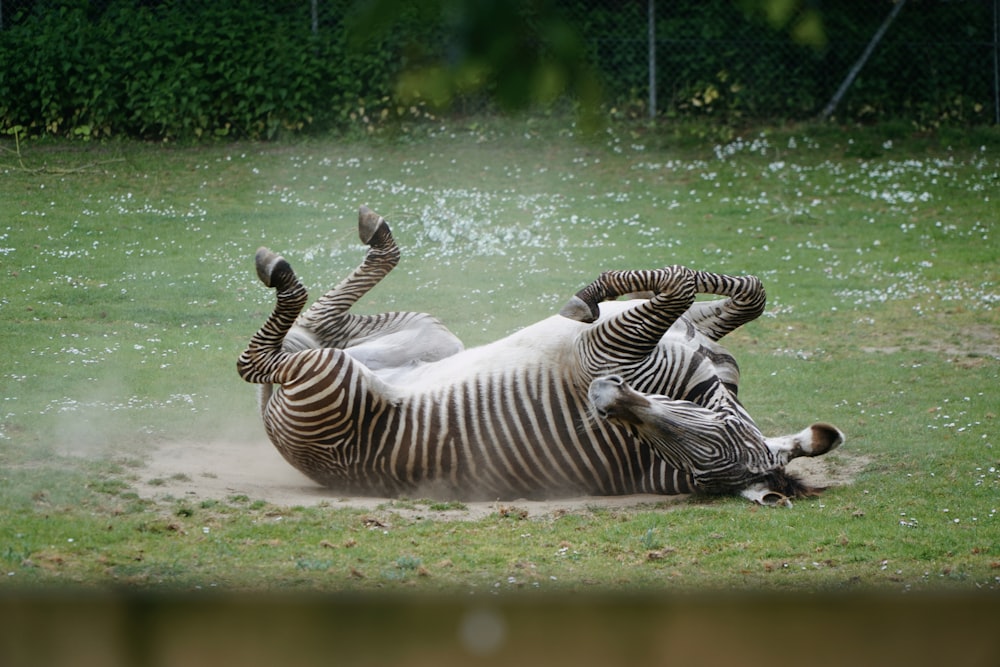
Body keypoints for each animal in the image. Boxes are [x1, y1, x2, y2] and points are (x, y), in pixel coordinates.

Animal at [236, 206, 844, 504]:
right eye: (702, 434)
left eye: (691, 455)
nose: (604, 398)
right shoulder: (686, 334)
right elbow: (738, 288)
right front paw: (600, 290)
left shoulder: (605, 347)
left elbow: (679, 283)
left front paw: (589, 295)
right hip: (431, 337)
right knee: (313, 327)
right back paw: (368, 236)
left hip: (326, 375)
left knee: (263, 358)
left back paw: (280, 274)